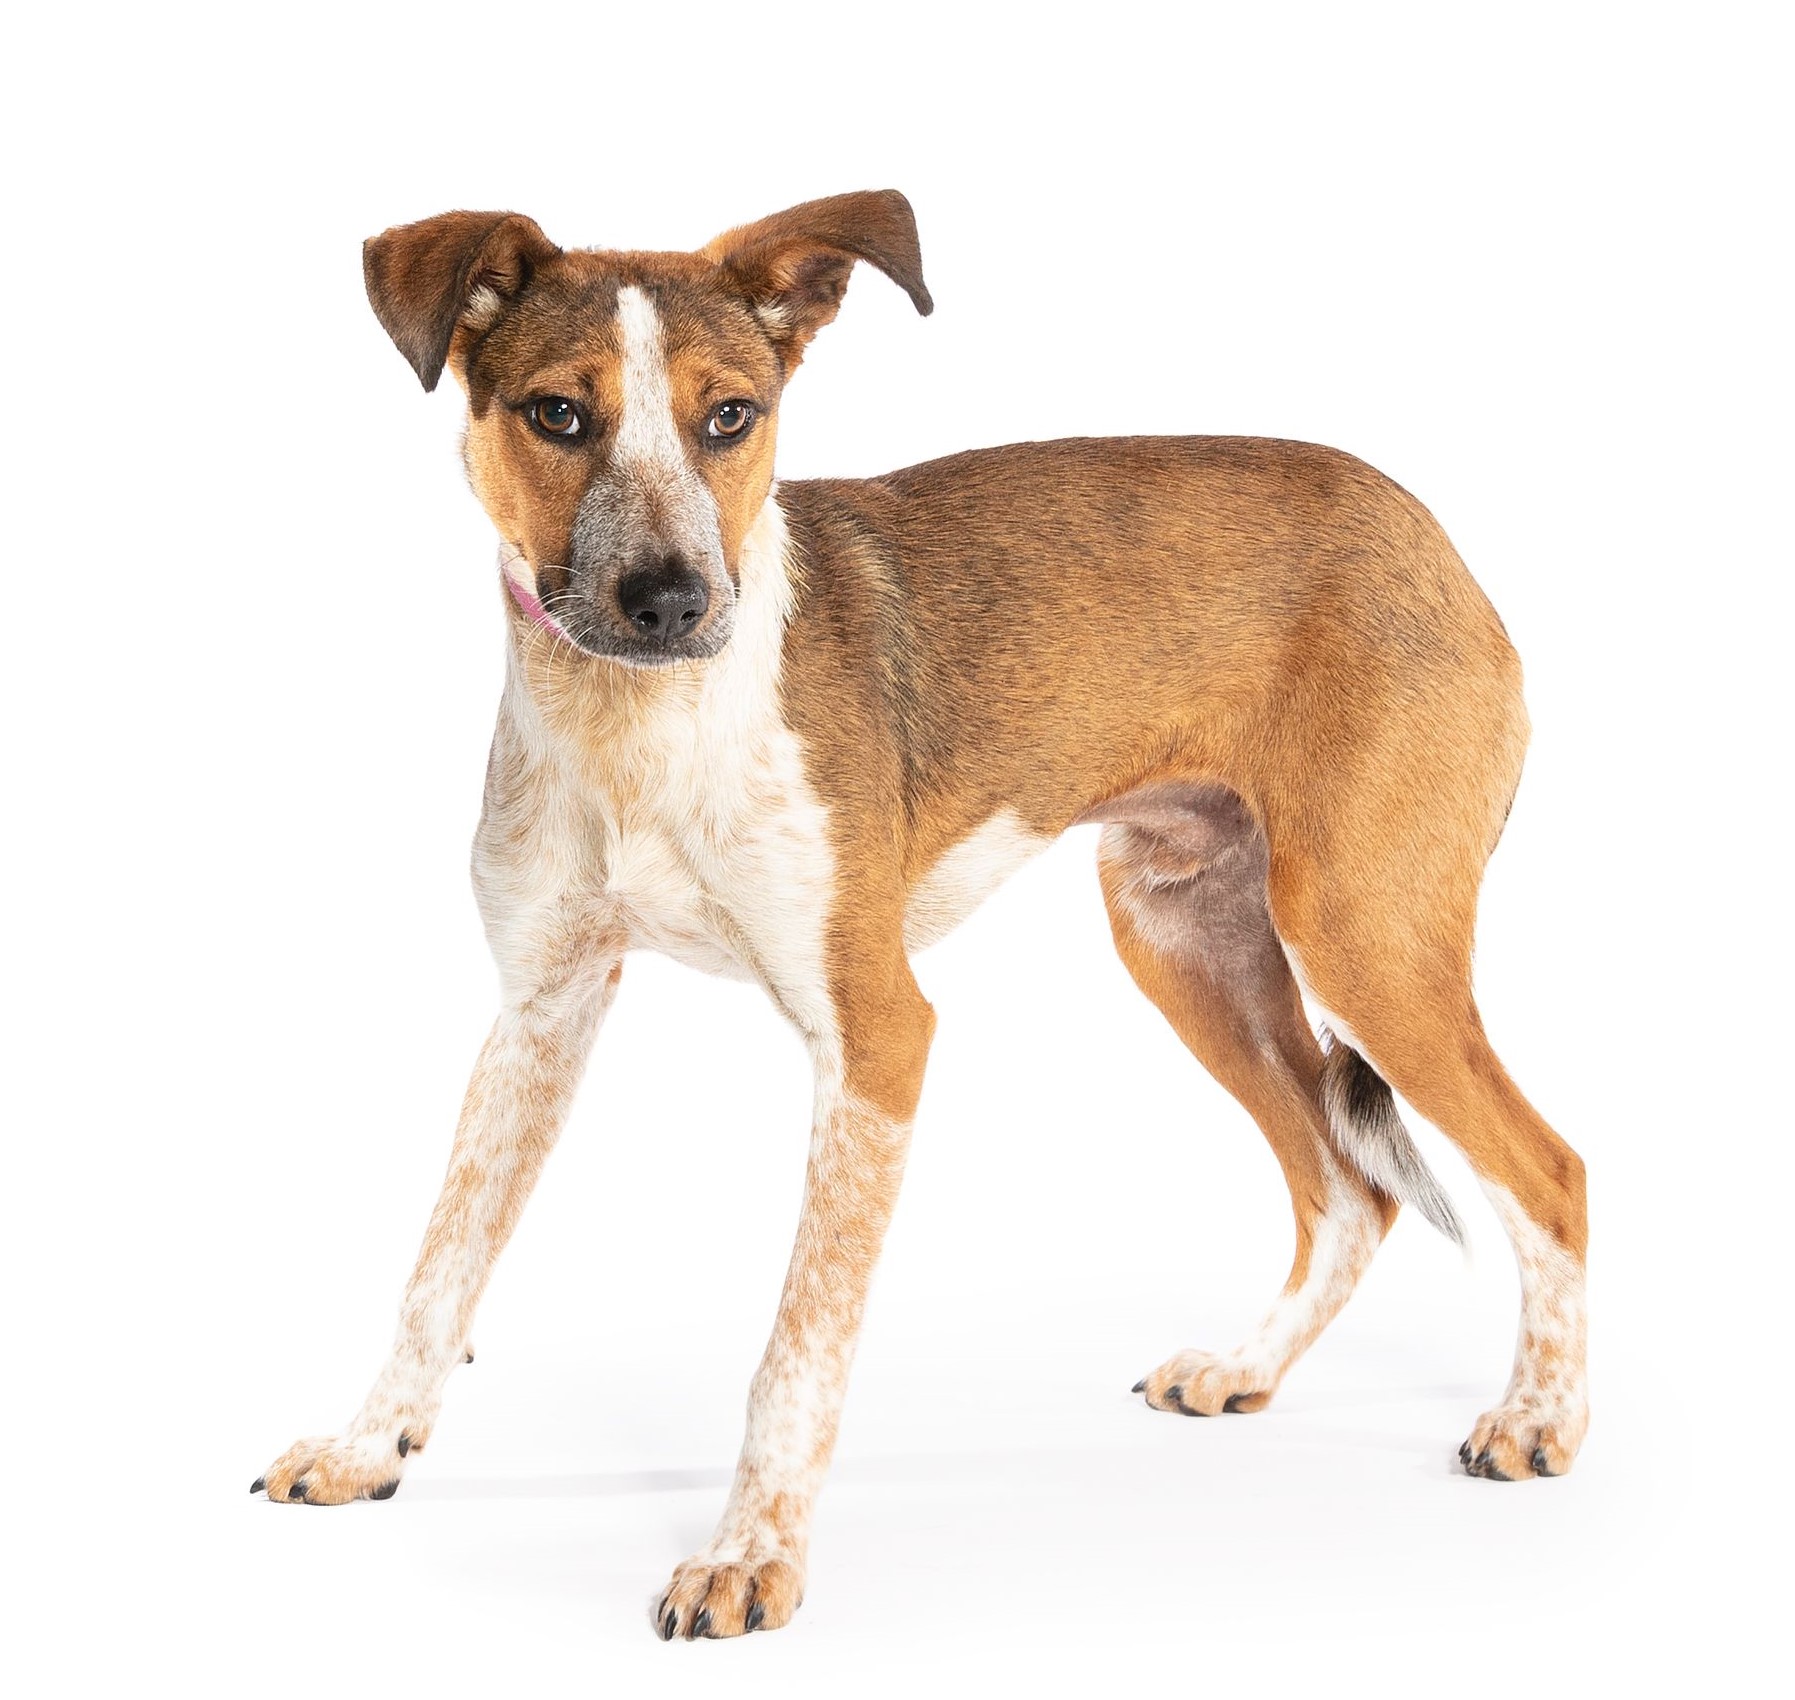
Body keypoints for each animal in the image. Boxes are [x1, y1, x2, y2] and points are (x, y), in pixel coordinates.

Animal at [253, 191, 1589, 1639]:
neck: (639, 732)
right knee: (1349, 1186)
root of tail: (1423, 523)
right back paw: (1246, 1365)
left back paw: (1536, 1420)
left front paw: (748, 1555)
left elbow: (795, 1346)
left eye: (731, 416)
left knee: (1547, 1172)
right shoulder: (537, 1013)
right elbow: (440, 1264)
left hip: (1359, 933)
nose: (672, 601)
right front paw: (367, 1444)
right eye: (556, 413)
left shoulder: (876, 1034)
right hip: (1181, 937)